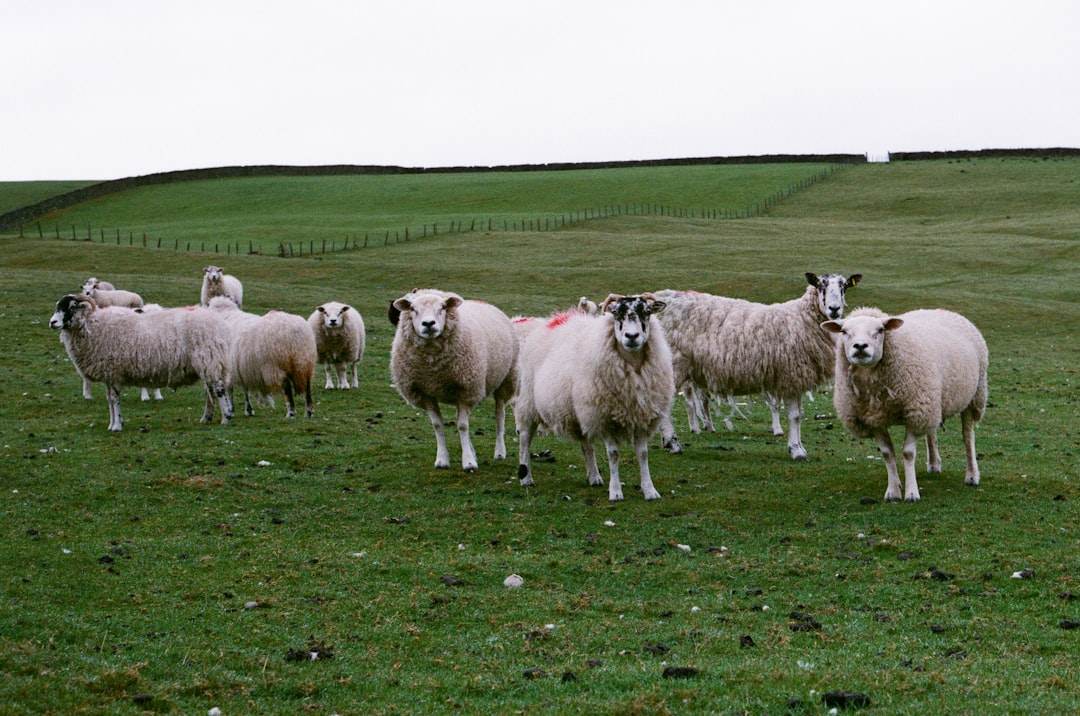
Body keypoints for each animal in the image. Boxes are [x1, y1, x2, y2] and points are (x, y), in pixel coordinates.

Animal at [48, 293, 232, 431]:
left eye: (72, 306)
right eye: (58, 306)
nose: (52, 322)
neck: (94, 326)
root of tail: (214, 319)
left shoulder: (114, 371)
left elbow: (114, 399)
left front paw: (117, 425)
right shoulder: (108, 374)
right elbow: (109, 400)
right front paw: (111, 424)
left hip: (209, 359)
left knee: (218, 388)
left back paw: (226, 418)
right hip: (206, 363)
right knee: (210, 390)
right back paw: (207, 418)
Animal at [390, 289, 516, 473]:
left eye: (443, 307)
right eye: (412, 309)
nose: (428, 323)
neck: (433, 369)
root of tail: (483, 302)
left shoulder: (466, 388)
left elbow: (462, 426)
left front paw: (469, 463)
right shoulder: (425, 392)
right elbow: (438, 425)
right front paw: (443, 459)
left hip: (504, 380)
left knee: (499, 415)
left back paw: (499, 452)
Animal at [514, 293, 673, 501]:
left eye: (646, 312)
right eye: (616, 313)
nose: (631, 337)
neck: (632, 367)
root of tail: (555, 320)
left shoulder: (641, 415)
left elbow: (643, 454)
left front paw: (649, 490)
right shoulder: (604, 417)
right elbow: (613, 454)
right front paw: (615, 492)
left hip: (580, 410)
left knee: (586, 444)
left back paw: (594, 476)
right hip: (529, 401)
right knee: (525, 438)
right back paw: (525, 477)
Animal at [656, 272, 859, 462]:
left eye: (844, 286)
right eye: (820, 285)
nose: (834, 309)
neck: (802, 318)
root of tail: (661, 297)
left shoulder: (794, 378)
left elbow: (798, 415)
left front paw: (798, 447)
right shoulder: (790, 374)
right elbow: (794, 416)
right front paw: (797, 450)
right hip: (672, 365)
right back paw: (672, 443)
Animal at [820, 308, 989, 503]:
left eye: (880, 330)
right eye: (844, 332)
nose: (860, 346)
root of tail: (942, 310)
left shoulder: (914, 412)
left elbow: (908, 453)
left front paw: (911, 493)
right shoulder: (874, 418)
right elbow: (887, 453)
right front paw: (893, 491)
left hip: (973, 396)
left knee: (967, 436)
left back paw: (972, 475)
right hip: (930, 400)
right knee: (931, 432)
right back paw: (934, 465)